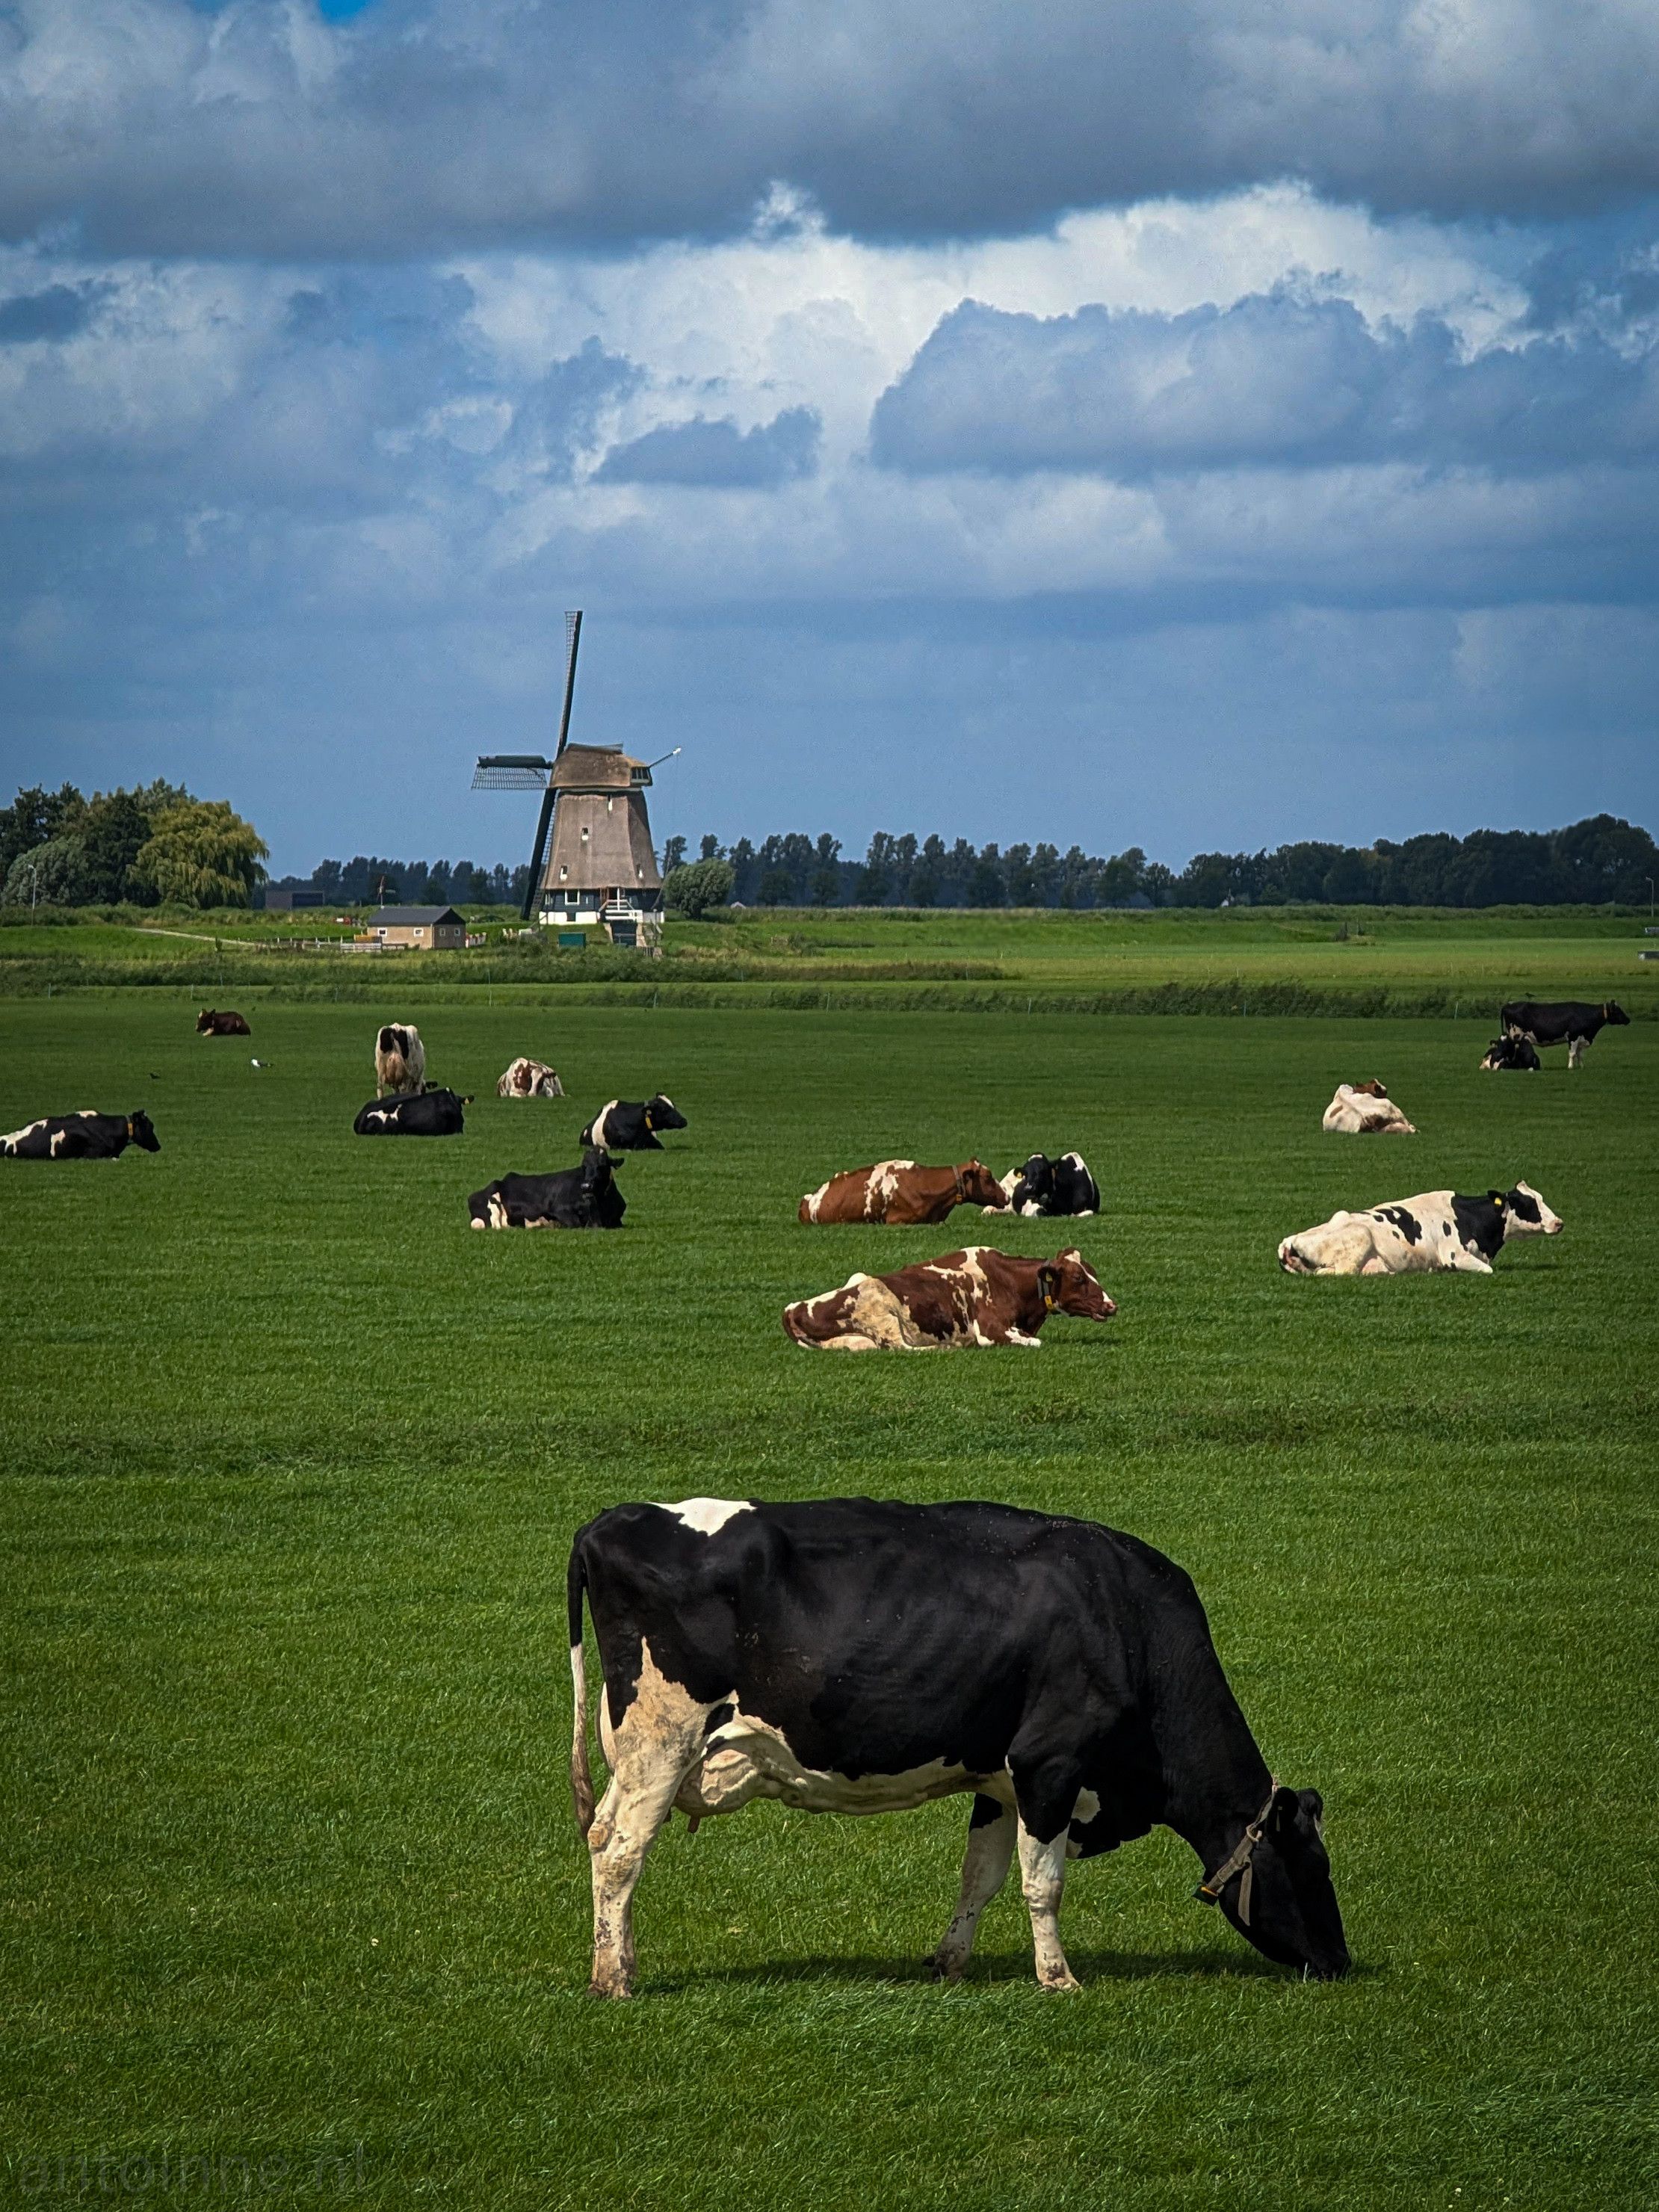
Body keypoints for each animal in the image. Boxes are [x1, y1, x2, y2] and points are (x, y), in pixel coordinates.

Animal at [567, 1497, 1349, 1998]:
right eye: (1313, 1868)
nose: (1341, 1962)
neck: (1127, 1623)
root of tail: (613, 1518)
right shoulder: (1049, 1765)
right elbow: (1043, 1883)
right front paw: (1058, 1977)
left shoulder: (1000, 1780)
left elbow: (983, 1877)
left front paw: (949, 1962)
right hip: (663, 1741)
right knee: (620, 1848)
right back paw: (613, 1980)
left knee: (607, 1836)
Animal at [783, 1246, 1115, 1351]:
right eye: (1078, 1278)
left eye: (1093, 1272)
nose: (1111, 1306)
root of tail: (793, 1309)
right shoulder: (990, 1331)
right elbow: (1035, 1343)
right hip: (882, 1314)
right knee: (904, 1348)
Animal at [1277, 1180, 1562, 1276]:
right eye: (1527, 1203)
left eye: (1541, 1197)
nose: (1559, 1223)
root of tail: (1289, 1241)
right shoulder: (1454, 1256)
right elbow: (1487, 1270)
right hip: (1359, 1240)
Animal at [1501, 1000, 1630, 1069]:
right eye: (1618, 1010)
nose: (1628, 1020)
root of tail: (1508, 1005)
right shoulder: (1573, 1037)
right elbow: (1572, 1054)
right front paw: (1570, 1067)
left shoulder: (1581, 1038)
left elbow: (1580, 1055)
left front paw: (1582, 1067)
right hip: (1515, 1035)